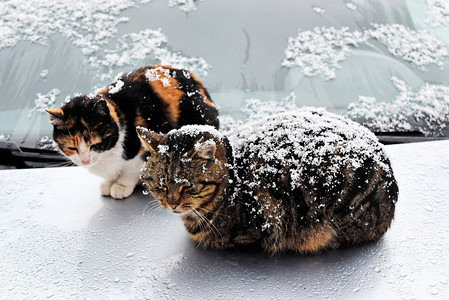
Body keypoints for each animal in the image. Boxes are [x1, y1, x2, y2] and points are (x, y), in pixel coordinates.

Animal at [46, 63, 219, 199]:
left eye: (95, 144)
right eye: (72, 147)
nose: (85, 161)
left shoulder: (143, 149)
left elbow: (130, 171)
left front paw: (121, 187)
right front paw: (109, 183)